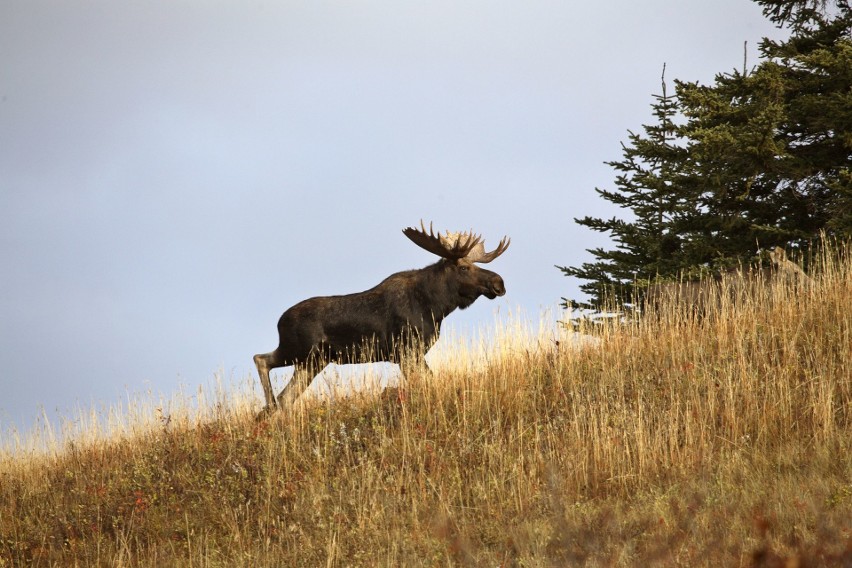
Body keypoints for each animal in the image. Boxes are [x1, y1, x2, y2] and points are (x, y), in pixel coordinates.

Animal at [250, 222, 510, 412]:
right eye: (463, 267)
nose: (498, 282)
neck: (435, 307)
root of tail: (280, 321)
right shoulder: (405, 350)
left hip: (312, 362)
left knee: (286, 396)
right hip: (299, 351)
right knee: (261, 359)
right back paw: (268, 406)